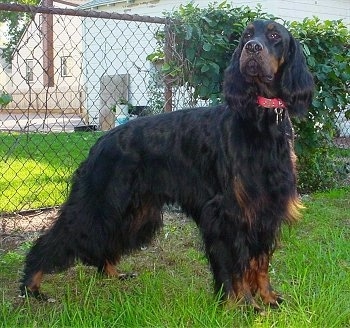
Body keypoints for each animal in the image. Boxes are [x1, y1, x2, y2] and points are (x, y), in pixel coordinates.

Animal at [20, 19, 314, 312]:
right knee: (58, 236)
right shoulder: (228, 213)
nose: (252, 48)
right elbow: (236, 266)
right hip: (101, 202)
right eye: (246, 36)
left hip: (134, 211)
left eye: (274, 36)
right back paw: (30, 285)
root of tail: (102, 140)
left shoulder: (267, 210)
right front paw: (240, 303)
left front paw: (267, 297)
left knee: (107, 241)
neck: (260, 118)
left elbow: (260, 262)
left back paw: (112, 273)